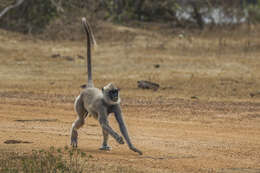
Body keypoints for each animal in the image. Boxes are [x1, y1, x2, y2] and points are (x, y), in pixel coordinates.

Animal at [70, 17, 142, 155]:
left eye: (116, 92)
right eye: (111, 92)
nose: (115, 96)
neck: (107, 101)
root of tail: (89, 87)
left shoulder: (116, 105)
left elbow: (121, 125)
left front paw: (132, 147)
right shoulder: (100, 105)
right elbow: (103, 123)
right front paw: (119, 138)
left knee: (102, 124)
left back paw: (104, 145)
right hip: (79, 101)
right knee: (82, 120)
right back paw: (74, 133)